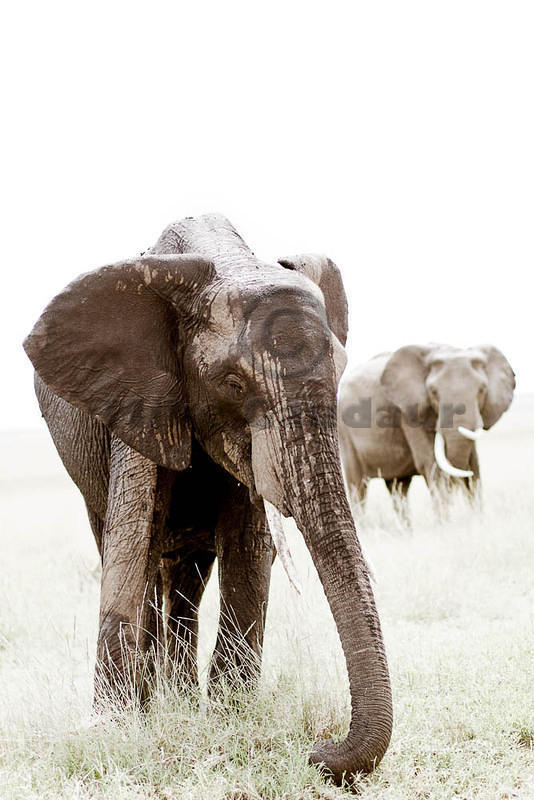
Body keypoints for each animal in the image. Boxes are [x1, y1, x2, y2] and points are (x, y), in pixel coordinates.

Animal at [24, 212, 394, 780]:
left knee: (187, 576)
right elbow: (133, 538)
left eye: (340, 369)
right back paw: (154, 699)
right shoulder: (137, 393)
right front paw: (115, 726)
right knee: (131, 550)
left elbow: (248, 542)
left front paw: (229, 713)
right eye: (234, 384)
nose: (319, 750)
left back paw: (177, 697)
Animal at [342, 340, 516, 510]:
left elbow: (473, 463)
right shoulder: (408, 411)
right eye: (433, 392)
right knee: (358, 486)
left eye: (482, 390)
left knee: (398, 487)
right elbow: (431, 463)